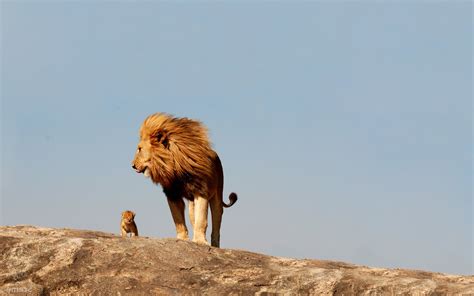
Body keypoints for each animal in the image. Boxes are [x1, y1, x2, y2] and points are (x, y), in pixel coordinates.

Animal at [131, 113, 237, 247]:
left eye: (139, 149)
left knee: (216, 223)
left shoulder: (201, 191)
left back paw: (214, 245)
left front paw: (200, 241)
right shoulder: (172, 194)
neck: (173, 165)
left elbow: (201, 219)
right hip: (191, 205)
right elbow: (178, 219)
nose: (132, 165)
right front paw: (183, 239)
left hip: (217, 196)